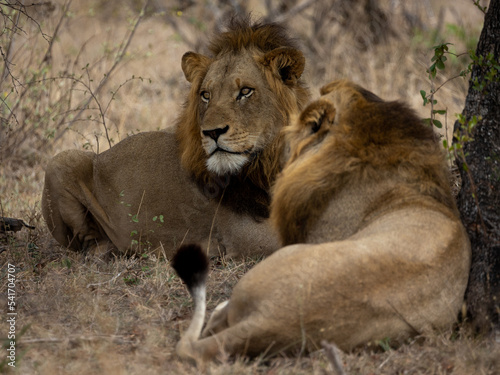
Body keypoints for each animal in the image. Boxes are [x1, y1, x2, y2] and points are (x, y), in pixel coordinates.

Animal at [42, 17, 308, 258]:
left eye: (245, 91)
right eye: (206, 95)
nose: (212, 132)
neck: (269, 162)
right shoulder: (244, 235)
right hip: (61, 161)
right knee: (87, 244)